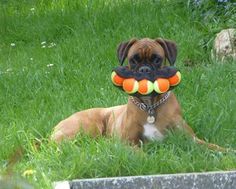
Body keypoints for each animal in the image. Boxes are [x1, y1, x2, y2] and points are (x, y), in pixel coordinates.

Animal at [51, 38, 227, 152]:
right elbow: (141, 154)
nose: (144, 70)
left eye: (157, 59)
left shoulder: (190, 139)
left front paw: (227, 153)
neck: (150, 106)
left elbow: (212, 146)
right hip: (89, 126)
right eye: (134, 60)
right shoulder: (128, 143)